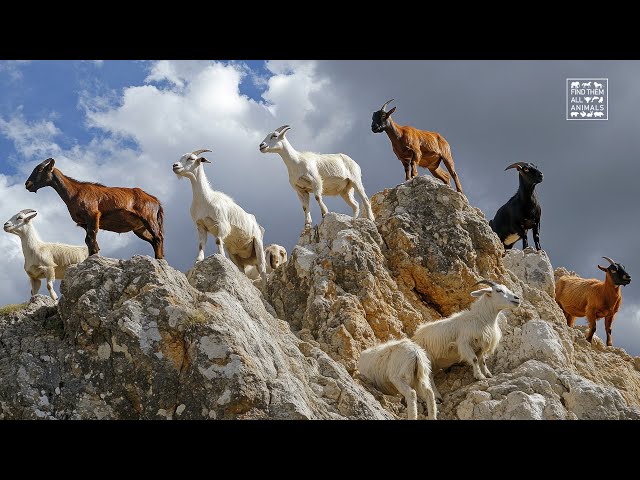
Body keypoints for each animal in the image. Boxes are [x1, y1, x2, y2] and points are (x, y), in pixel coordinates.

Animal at [171, 148, 266, 286]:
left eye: (191, 158)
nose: (175, 166)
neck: (205, 200)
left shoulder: (221, 225)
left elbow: (218, 241)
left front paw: (221, 258)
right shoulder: (201, 225)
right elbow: (201, 245)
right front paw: (198, 260)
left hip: (258, 244)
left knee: (263, 268)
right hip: (234, 253)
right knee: (242, 270)